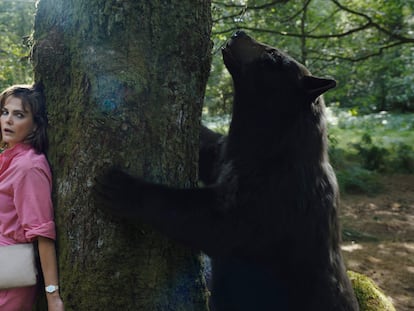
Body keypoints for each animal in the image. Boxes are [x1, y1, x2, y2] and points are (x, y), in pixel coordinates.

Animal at [94, 30, 360, 310]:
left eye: (273, 56)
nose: (239, 31)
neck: (266, 147)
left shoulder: (271, 201)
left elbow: (205, 220)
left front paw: (122, 187)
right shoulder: (224, 154)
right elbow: (206, 148)